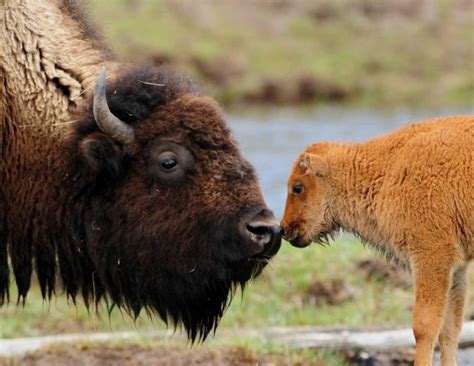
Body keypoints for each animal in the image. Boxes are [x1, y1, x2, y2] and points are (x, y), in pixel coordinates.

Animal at [282, 116, 474, 364]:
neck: (389, 168)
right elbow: (450, 329)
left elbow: (425, 326)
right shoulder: (456, 267)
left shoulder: (431, 257)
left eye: (298, 187)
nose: (284, 229)